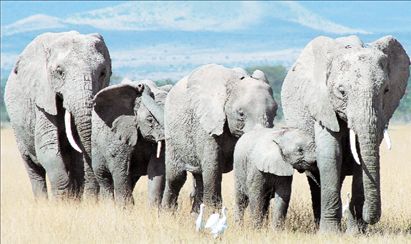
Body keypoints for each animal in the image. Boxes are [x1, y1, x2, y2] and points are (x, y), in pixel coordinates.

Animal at [4, 31, 112, 200]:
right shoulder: (43, 97)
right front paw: (62, 200)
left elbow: (78, 156)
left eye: (102, 73)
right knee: (33, 168)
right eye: (60, 72)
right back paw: (42, 202)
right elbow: (46, 147)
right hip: (17, 129)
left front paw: (73, 200)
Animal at [161, 64, 276, 212]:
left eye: (275, 112)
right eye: (241, 114)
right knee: (176, 178)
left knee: (199, 177)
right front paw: (213, 213)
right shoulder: (206, 125)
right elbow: (213, 167)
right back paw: (167, 213)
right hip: (172, 133)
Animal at [282, 34, 410, 233]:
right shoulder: (322, 104)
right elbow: (330, 154)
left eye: (386, 91)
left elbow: (361, 162)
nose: (367, 215)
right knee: (315, 178)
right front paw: (329, 234)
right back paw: (320, 225)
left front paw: (357, 233)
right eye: (342, 92)